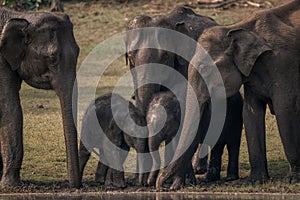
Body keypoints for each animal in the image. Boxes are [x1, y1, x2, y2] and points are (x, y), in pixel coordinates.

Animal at [0, 6, 80, 188]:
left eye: (78, 52)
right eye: (52, 57)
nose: (75, 186)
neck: (21, 16)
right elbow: (9, 107)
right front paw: (11, 186)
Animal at [157, 0, 300, 190]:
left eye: (205, 70)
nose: (162, 185)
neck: (238, 27)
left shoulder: (283, 65)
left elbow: (285, 109)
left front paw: (293, 179)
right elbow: (251, 113)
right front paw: (254, 181)